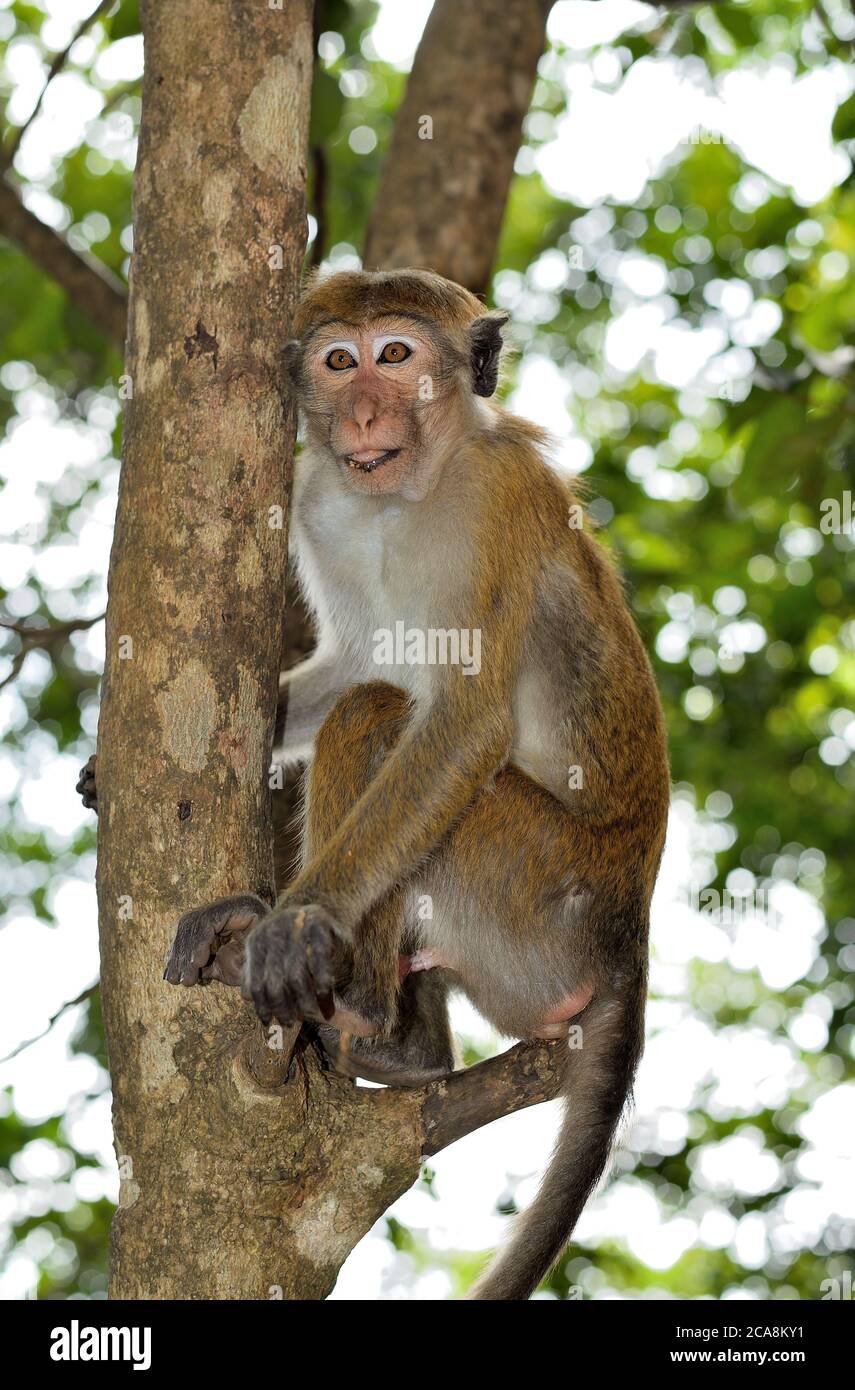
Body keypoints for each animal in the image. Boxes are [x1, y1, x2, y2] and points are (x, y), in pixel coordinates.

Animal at [85, 267, 670, 1300]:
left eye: (394, 355)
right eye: (337, 360)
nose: (361, 411)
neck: (409, 493)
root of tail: (626, 938)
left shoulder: (497, 495)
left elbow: (460, 720)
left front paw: (294, 922)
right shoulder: (319, 500)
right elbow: (351, 660)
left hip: (537, 887)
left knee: (379, 718)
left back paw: (350, 1000)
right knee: (370, 703)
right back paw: (409, 1043)